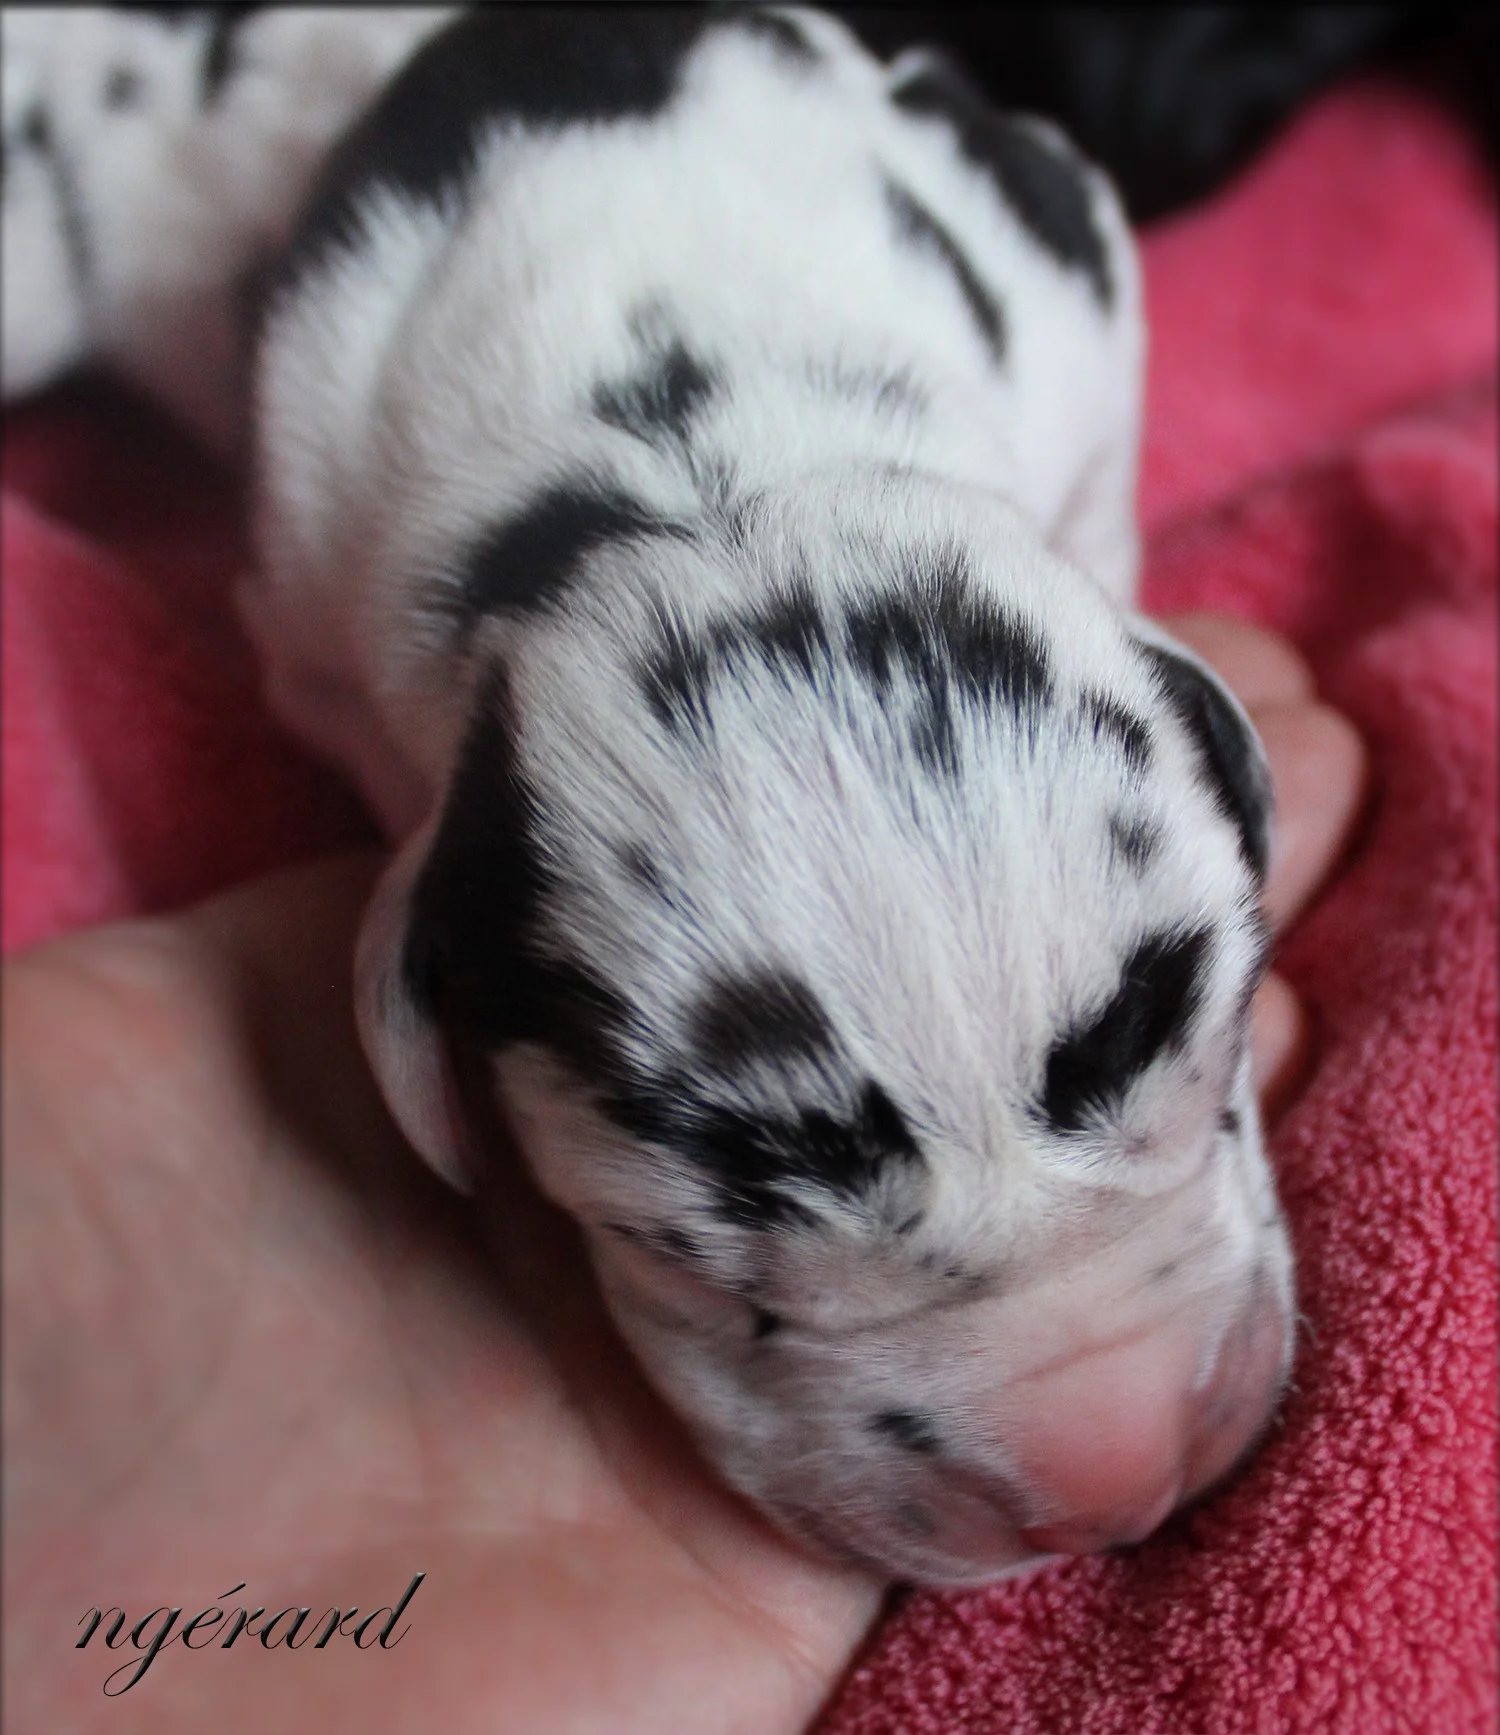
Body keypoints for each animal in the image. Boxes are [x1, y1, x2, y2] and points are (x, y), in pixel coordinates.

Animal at [2, 5, 1295, 1585]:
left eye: (1224, 1061)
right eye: (683, 1257)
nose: (1113, 1481)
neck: (704, 452)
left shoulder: (1070, 262)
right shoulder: (305, 610)